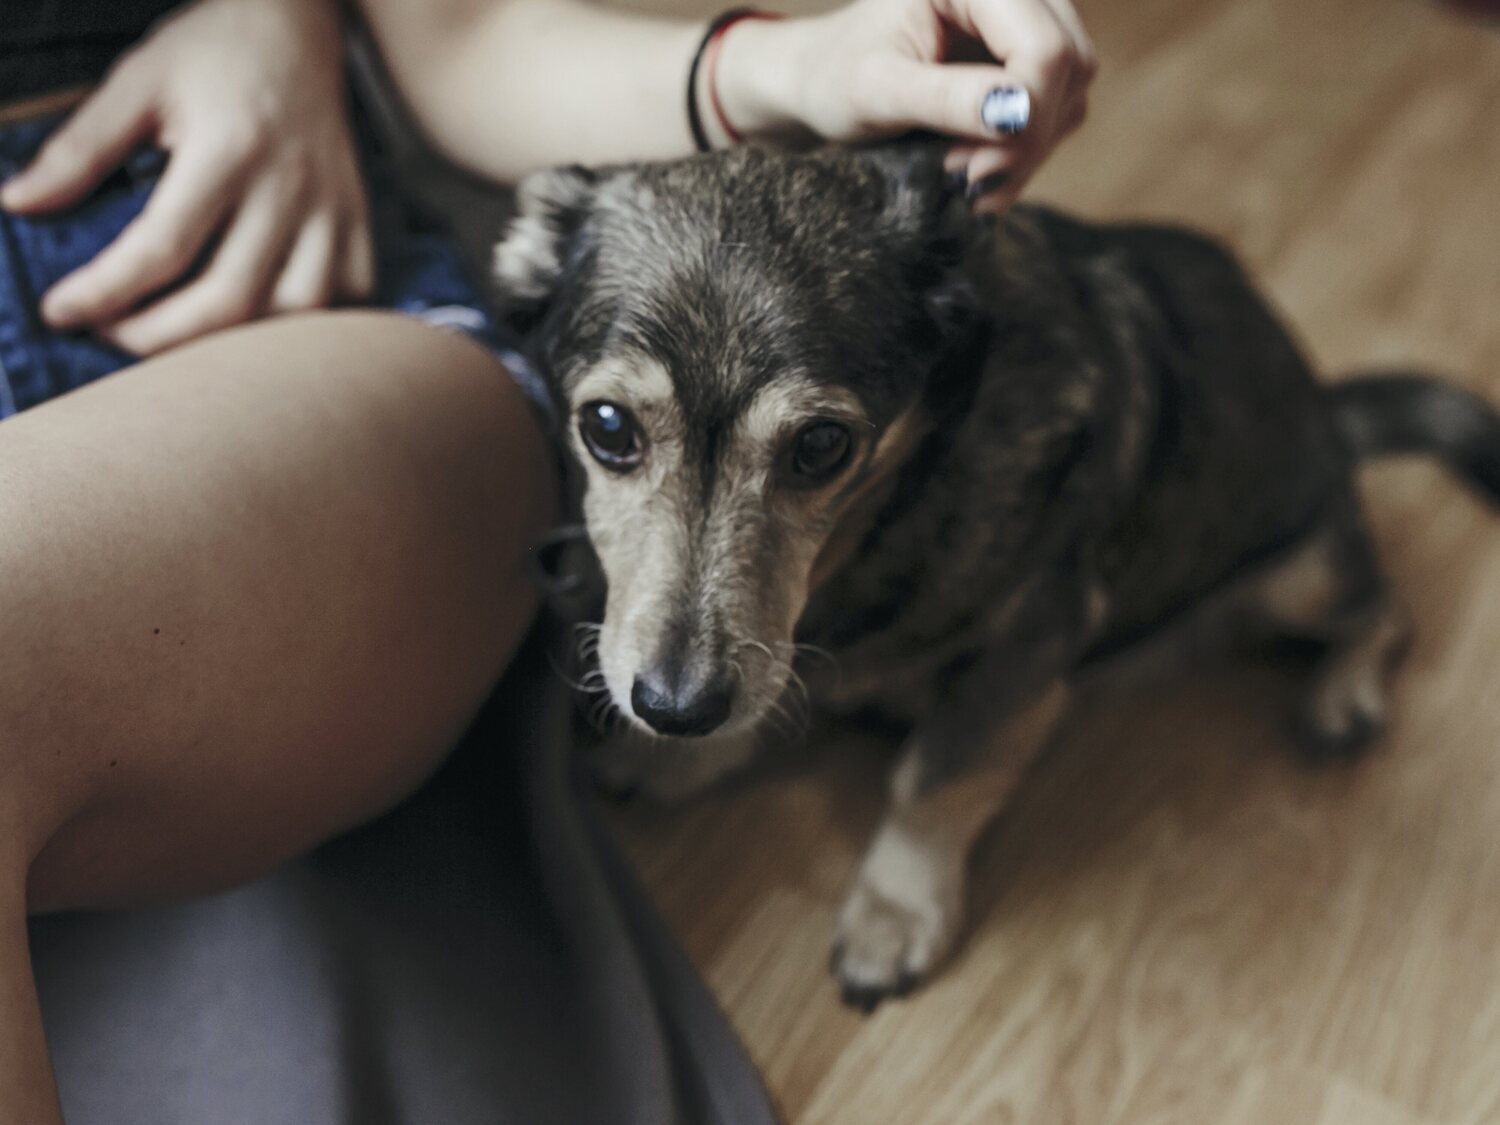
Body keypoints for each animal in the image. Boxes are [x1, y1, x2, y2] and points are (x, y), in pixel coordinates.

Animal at [492, 141, 1500, 1014]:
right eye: (608, 427)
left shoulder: (1029, 643)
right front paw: (677, 757)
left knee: (1386, 608)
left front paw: (894, 913)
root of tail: (1331, 412)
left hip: (1305, 570)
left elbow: (936, 780)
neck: (878, 525)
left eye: (821, 447)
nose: (674, 707)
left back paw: (1344, 695)